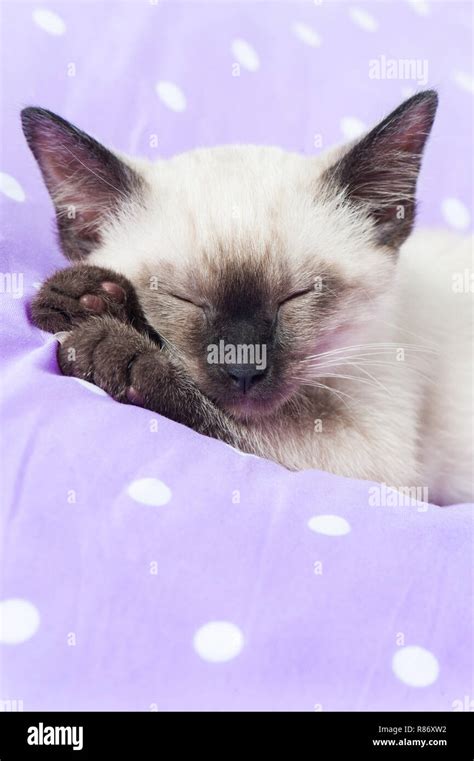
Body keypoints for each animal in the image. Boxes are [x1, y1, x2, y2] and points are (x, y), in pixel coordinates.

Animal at [23, 90, 474, 504]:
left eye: (294, 297)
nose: (243, 368)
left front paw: (113, 347)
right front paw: (78, 297)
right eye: (183, 299)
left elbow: (216, 414)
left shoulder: (376, 456)